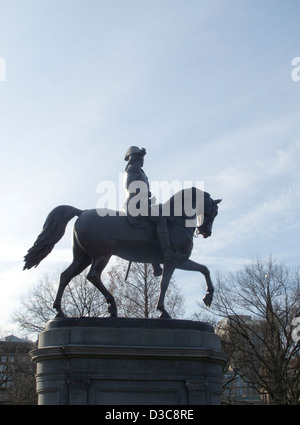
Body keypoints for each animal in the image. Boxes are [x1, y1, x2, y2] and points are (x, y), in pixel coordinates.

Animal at [23, 187, 220, 316]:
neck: (176, 218)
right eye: (214, 211)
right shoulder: (173, 260)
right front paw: (163, 310)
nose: (206, 232)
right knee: (93, 276)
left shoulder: (180, 261)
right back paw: (112, 305)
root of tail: (83, 212)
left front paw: (209, 296)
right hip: (102, 255)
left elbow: (204, 269)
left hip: (83, 258)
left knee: (65, 276)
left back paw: (59, 311)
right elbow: (165, 284)